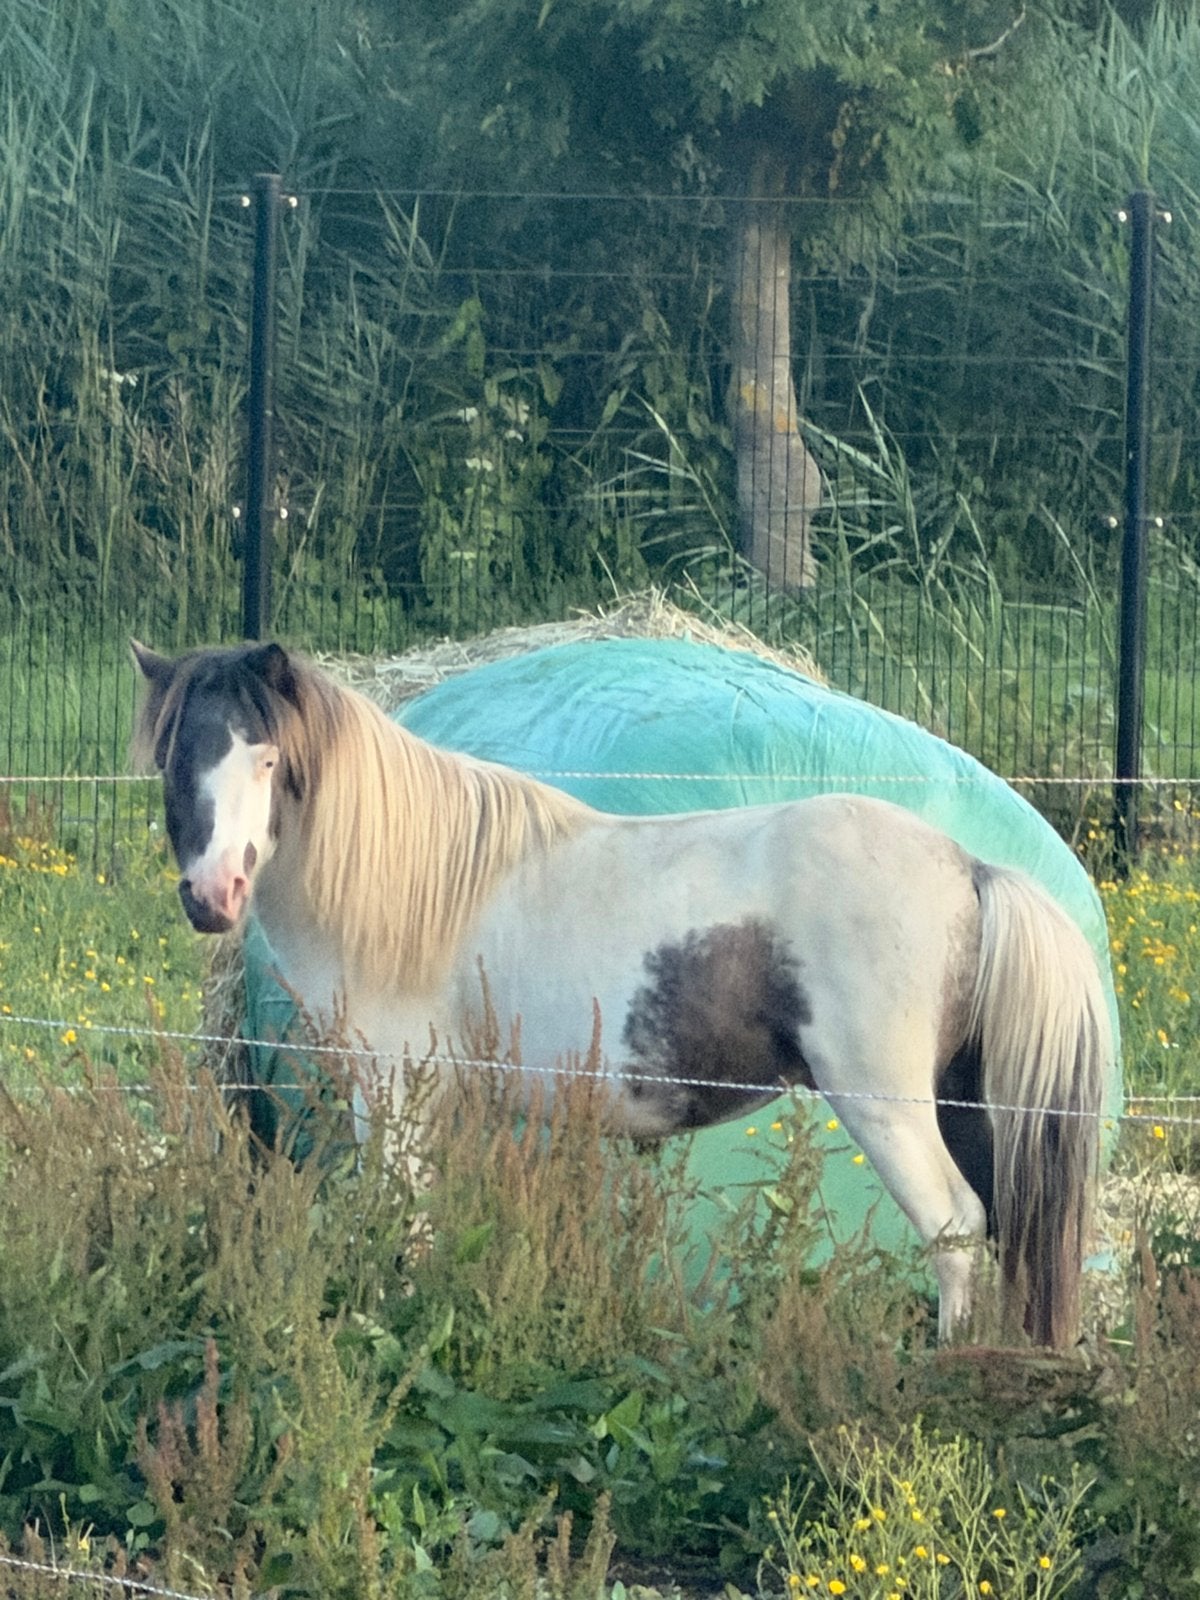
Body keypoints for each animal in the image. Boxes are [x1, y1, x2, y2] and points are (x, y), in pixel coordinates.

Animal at [131, 638, 1112, 1349]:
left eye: (266, 758)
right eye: (178, 756)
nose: (212, 895)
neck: (412, 890)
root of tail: (969, 865)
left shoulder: (397, 1097)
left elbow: (400, 1227)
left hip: (888, 1108)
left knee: (954, 1227)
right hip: (963, 1108)